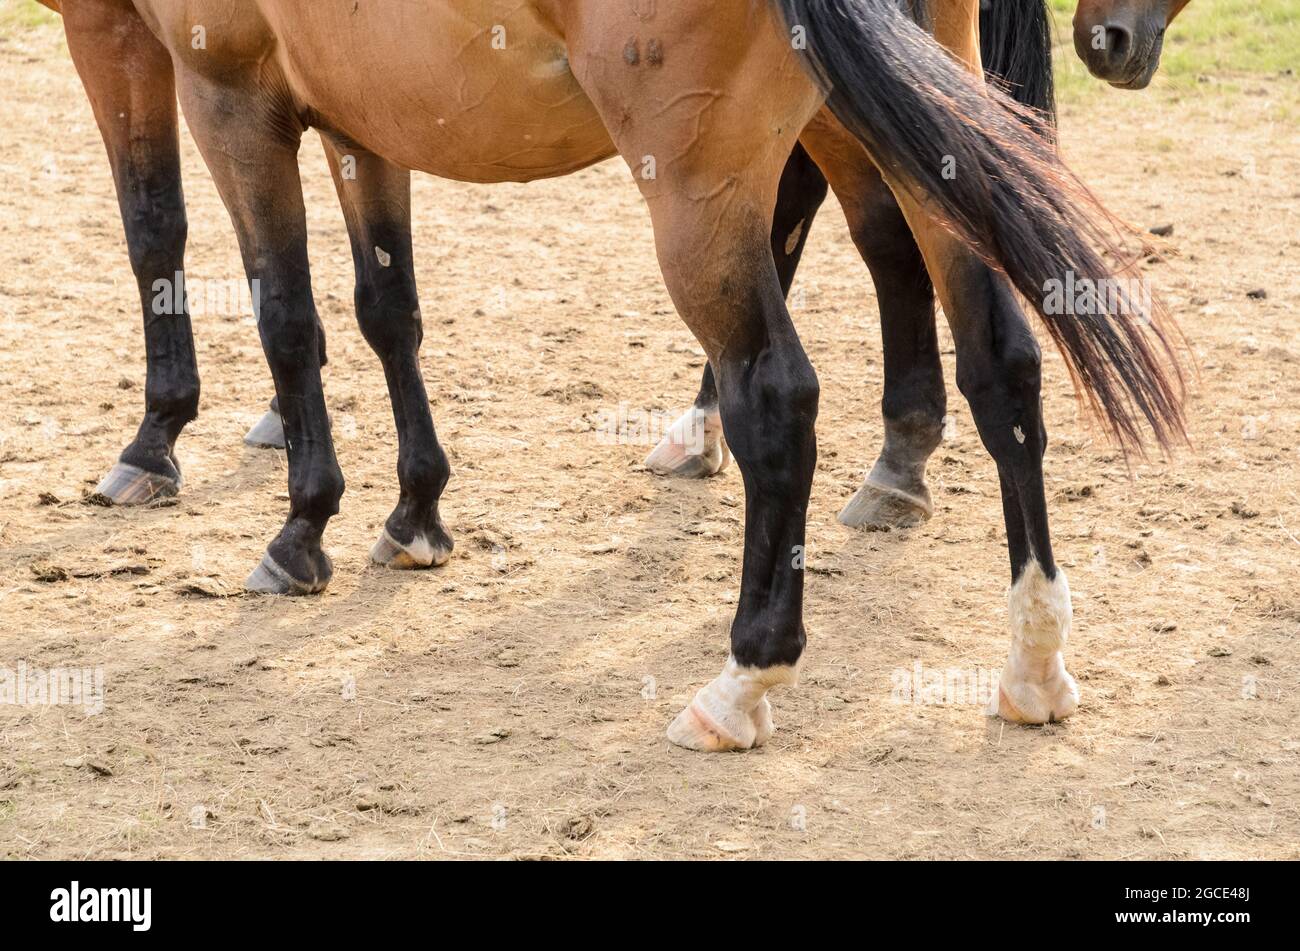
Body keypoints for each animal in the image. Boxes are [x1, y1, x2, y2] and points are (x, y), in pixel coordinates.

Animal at [40, 3, 1185, 753]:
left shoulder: (213, 83)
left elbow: (240, 287)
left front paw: (269, 507)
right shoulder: (365, 113)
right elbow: (385, 310)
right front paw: (415, 509)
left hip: (701, 181)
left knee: (776, 397)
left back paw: (743, 679)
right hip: (918, 124)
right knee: (1001, 361)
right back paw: (1031, 660)